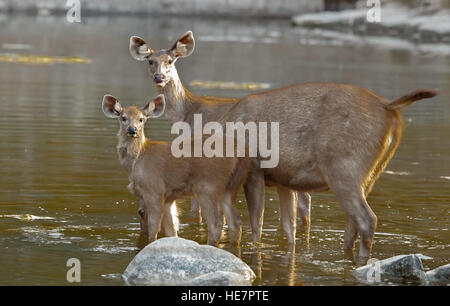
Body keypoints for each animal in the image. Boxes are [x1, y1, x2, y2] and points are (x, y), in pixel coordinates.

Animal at [102, 94, 250, 245]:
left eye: (141, 119)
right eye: (123, 118)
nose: (132, 130)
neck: (136, 160)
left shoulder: (153, 189)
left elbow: (154, 229)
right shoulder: (168, 197)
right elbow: (172, 230)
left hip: (208, 186)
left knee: (216, 222)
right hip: (231, 186)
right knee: (235, 222)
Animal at [128, 30, 438, 258]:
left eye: (171, 60)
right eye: (150, 61)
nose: (159, 77)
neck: (199, 114)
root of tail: (388, 107)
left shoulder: (253, 169)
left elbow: (254, 223)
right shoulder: (283, 180)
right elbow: (287, 231)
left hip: (344, 165)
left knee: (366, 219)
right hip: (371, 173)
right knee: (352, 223)